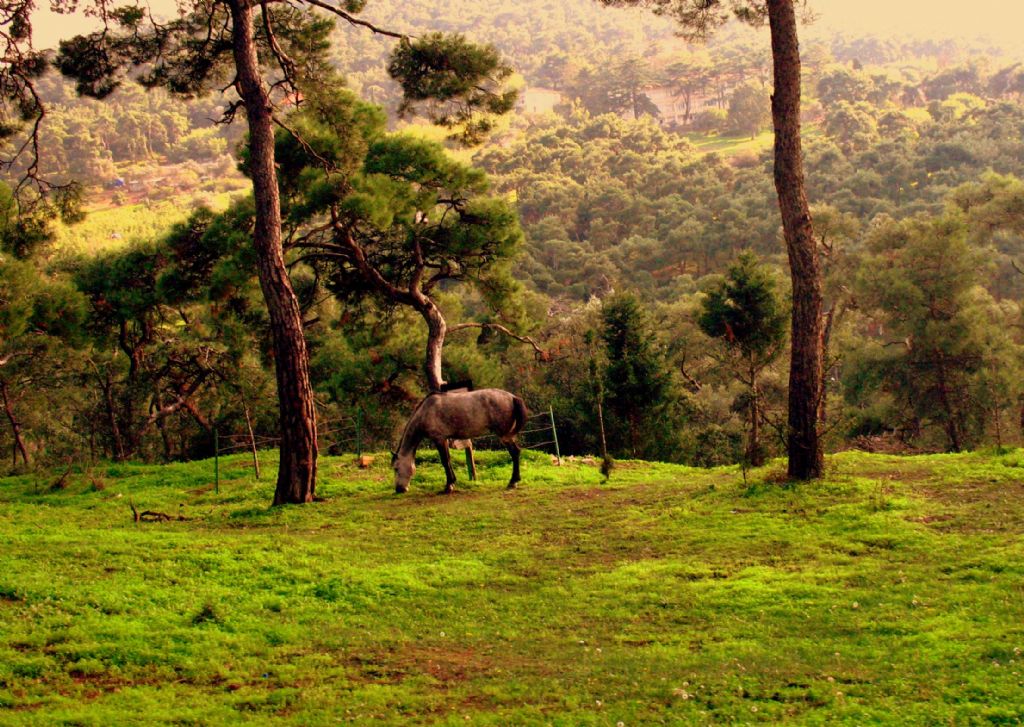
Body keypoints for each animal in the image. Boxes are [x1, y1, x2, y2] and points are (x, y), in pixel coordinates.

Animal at [391, 391, 528, 493]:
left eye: (396, 469)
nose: (399, 489)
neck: (426, 411)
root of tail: (513, 397)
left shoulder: (439, 439)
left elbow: (445, 461)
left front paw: (448, 486)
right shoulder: (445, 439)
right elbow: (448, 460)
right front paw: (452, 482)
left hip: (504, 435)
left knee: (515, 453)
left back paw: (512, 482)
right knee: (516, 452)